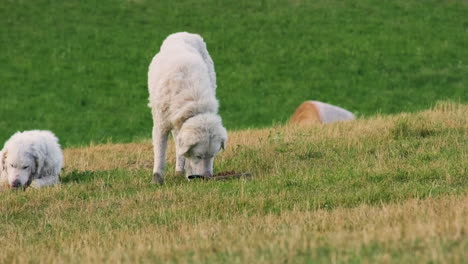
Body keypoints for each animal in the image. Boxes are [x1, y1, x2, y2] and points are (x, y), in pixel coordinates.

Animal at [146, 32, 227, 184]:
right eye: (199, 156)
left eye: (213, 155)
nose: (207, 177)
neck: (193, 103)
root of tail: (184, 33)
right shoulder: (161, 125)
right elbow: (160, 154)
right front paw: (157, 179)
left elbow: (185, 155)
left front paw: (188, 174)